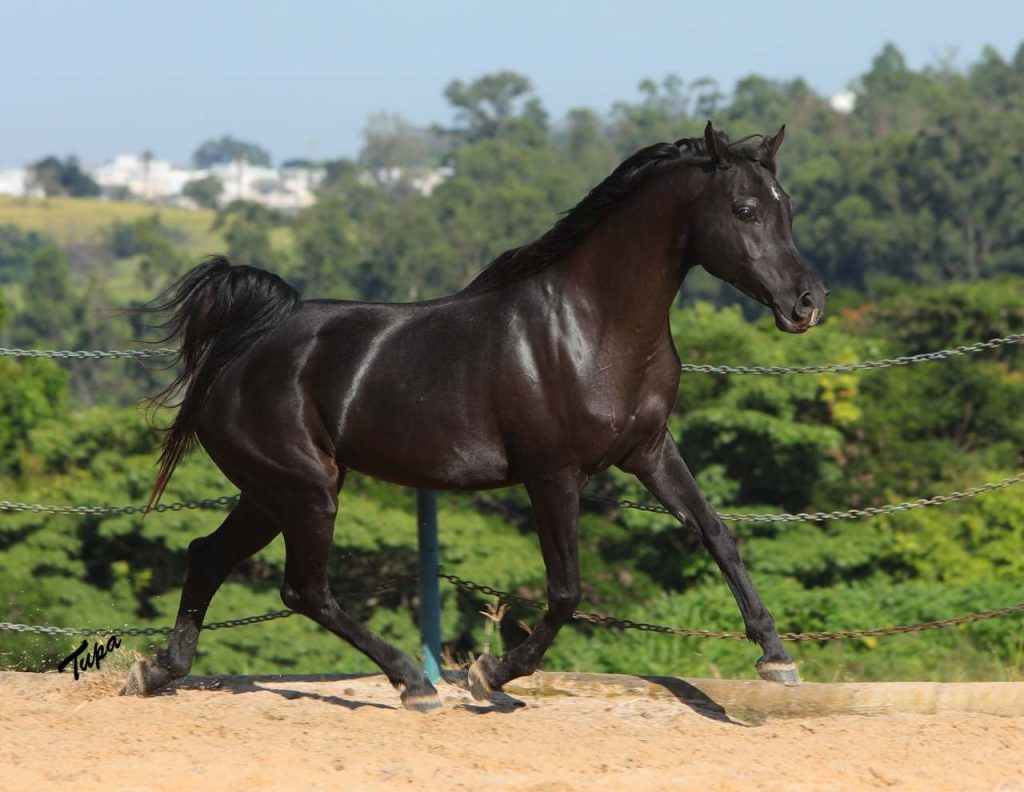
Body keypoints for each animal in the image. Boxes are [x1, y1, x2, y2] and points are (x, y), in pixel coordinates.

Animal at [123, 123, 827, 709]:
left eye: (789, 207)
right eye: (744, 210)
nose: (807, 302)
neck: (593, 325)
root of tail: (241, 350)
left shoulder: (650, 450)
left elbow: (717, 534)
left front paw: (777, 658)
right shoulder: (552, 474)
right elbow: (566, 590)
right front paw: (491, 674)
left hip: (272, 493)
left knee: (207, 557)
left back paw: (158, 672)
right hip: (306, 490)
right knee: (304, 590)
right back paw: (413, 684)